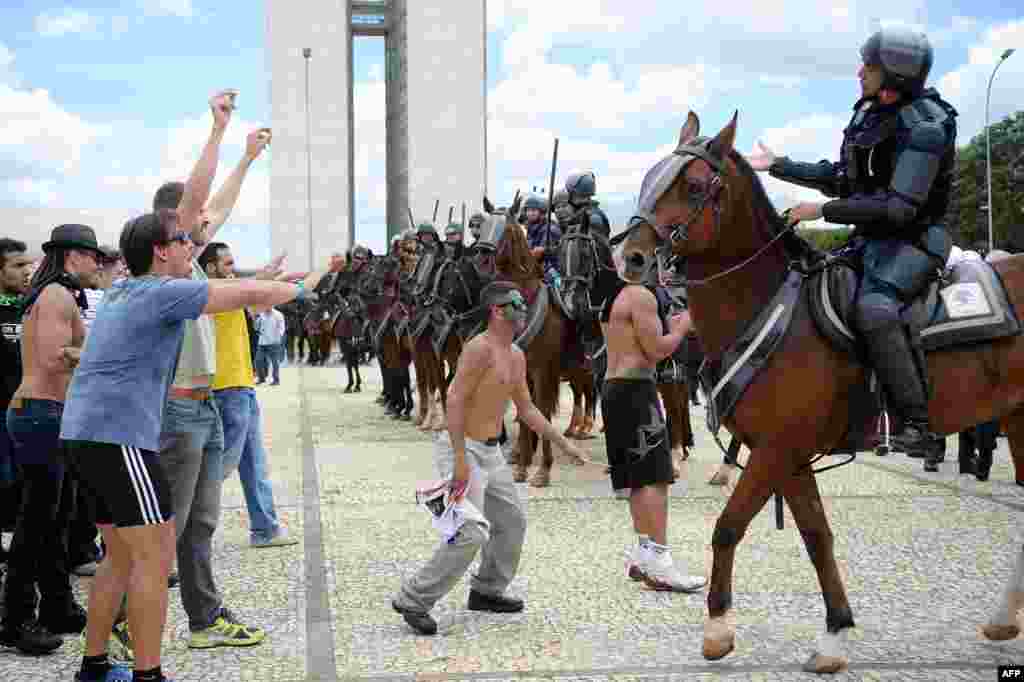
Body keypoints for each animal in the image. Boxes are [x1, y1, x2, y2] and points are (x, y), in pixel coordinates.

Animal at [618, 111, 1024, 667]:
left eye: (695, 186)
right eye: (649, 178)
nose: (631, 258)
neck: (772, 308)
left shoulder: (778, 449)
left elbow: (728, 526)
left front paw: (718, 626)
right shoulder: (787, 455)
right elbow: (816, 536)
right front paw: (834, 632)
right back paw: (1005, 617)